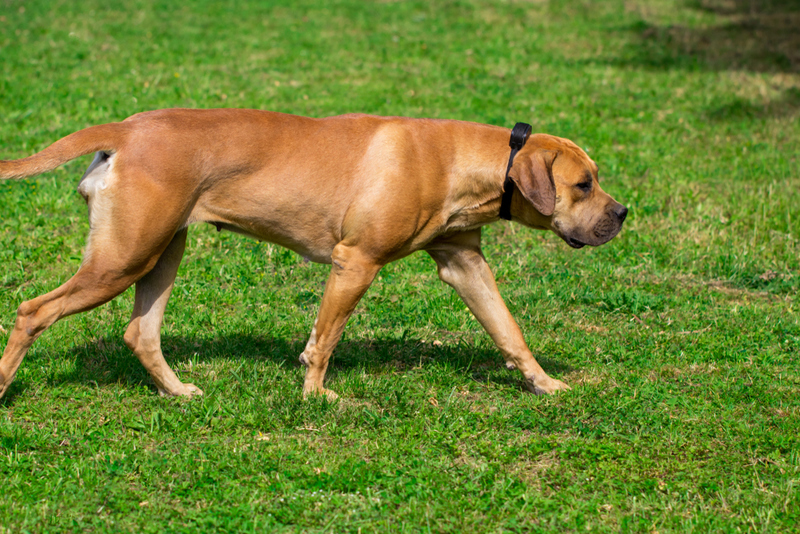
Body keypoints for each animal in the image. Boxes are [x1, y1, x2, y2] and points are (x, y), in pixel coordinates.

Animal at [0, 110, 624, 402]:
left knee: (141, 333)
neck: (462, 162)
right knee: (32, 311)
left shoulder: (464, 265)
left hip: (160, 252)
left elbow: (510, 332)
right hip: (121, 260)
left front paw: (546, 385)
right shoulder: (356, 262)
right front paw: (317, 397)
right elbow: (324, 340)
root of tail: (125, 129)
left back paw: (177, 392)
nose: (623, 214)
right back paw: (6, 387)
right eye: (584, 184)